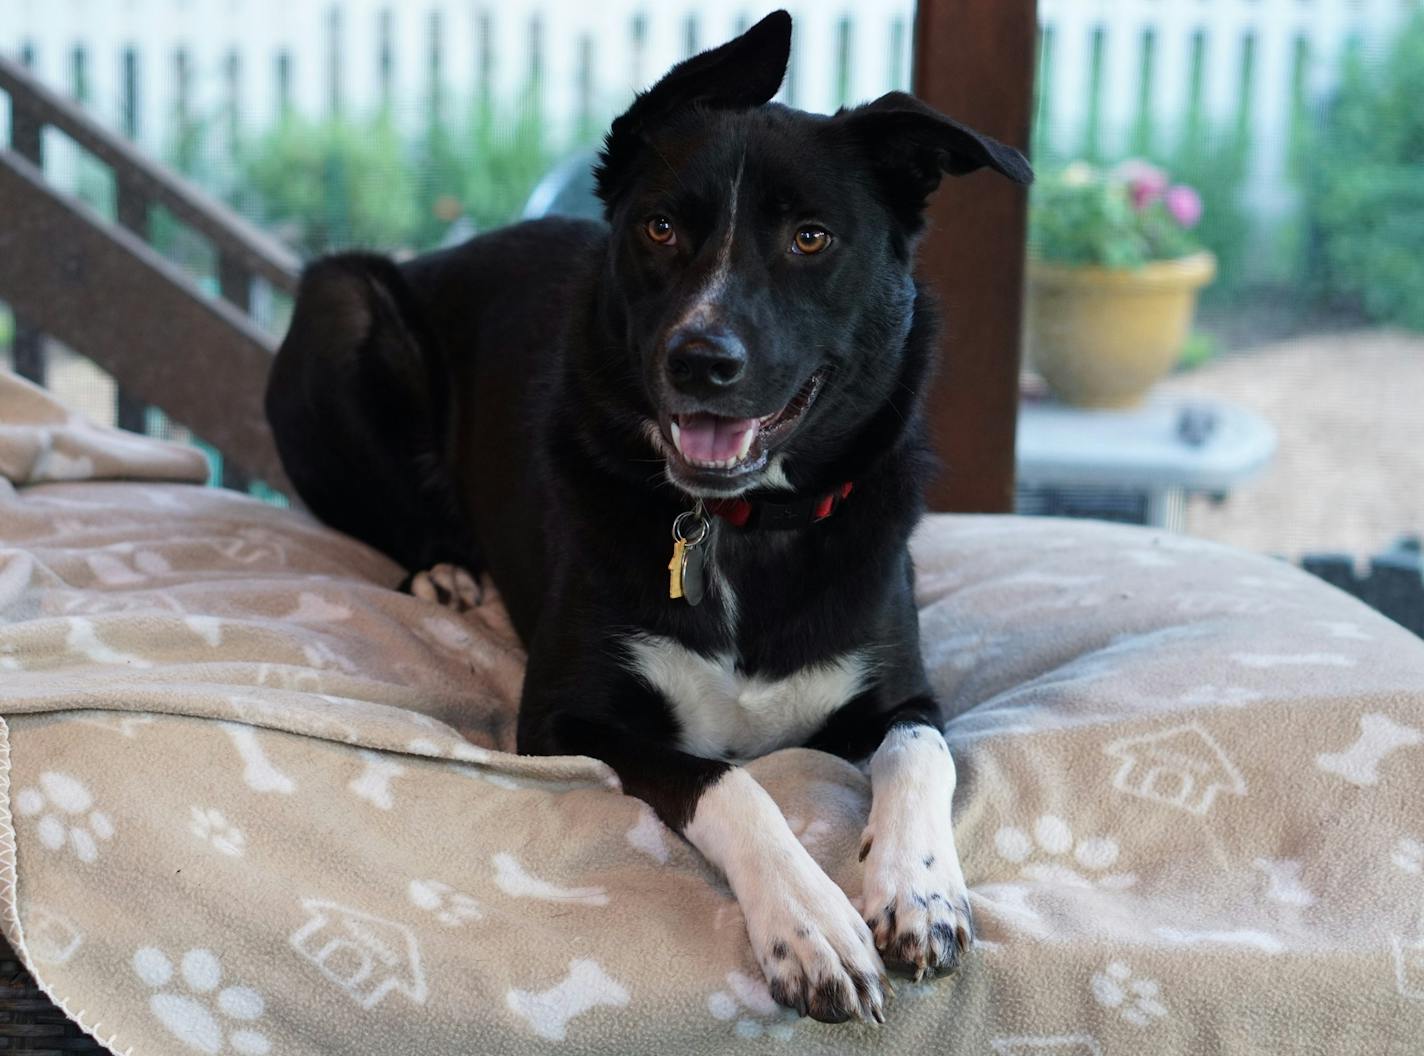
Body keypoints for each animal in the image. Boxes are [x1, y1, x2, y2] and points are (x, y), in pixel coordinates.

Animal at [267, 12, 1030, 1030]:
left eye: (812, 238)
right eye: (660, 227)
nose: (700, 359)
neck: (736, 524)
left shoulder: (903, 693)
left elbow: (921, 755)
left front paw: (919, 890)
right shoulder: (564, 716)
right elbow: (728, 779)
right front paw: (810, 926)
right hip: (342, 304)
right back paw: (444, 571)